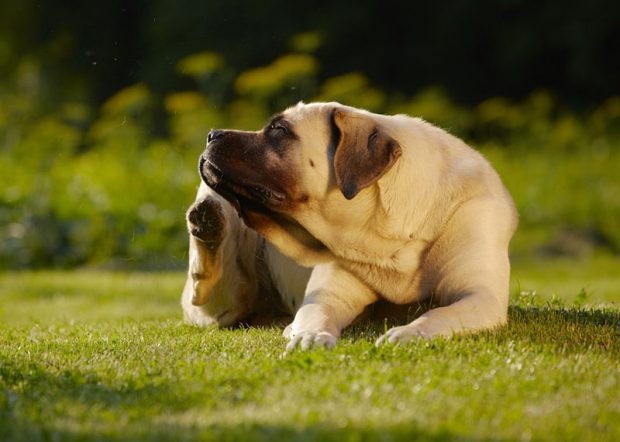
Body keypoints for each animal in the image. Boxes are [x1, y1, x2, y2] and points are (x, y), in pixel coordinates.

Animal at [180, 101, 520, 352]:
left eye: (279, 130)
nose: (212, 134)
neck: (390, 238)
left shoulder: (480, 296)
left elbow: (438, 313)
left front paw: (409, 333)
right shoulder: (328, 296)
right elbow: (315, 314)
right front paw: (309, 335)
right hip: (222, 298)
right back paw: (207, 222)